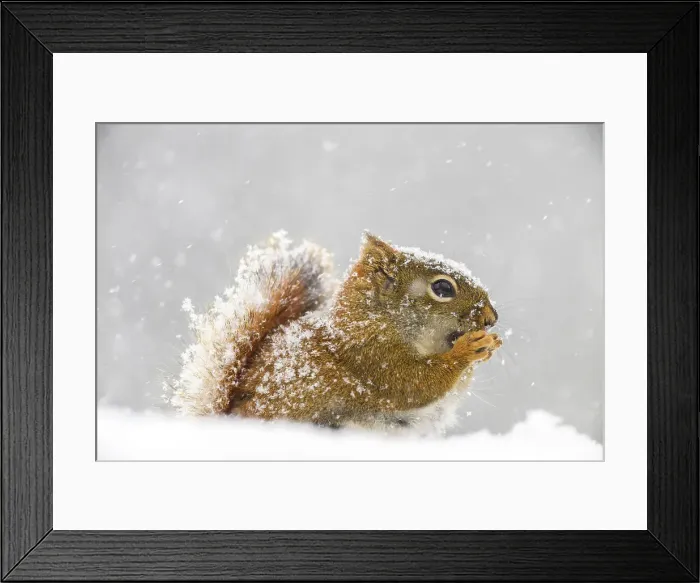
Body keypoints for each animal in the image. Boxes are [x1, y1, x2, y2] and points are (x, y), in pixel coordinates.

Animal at [169, 231, 502, 432]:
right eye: (443, 288)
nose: (491, 318)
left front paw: (489, 345)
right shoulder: (371, 357)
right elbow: (415, 384)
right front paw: (466, 350)